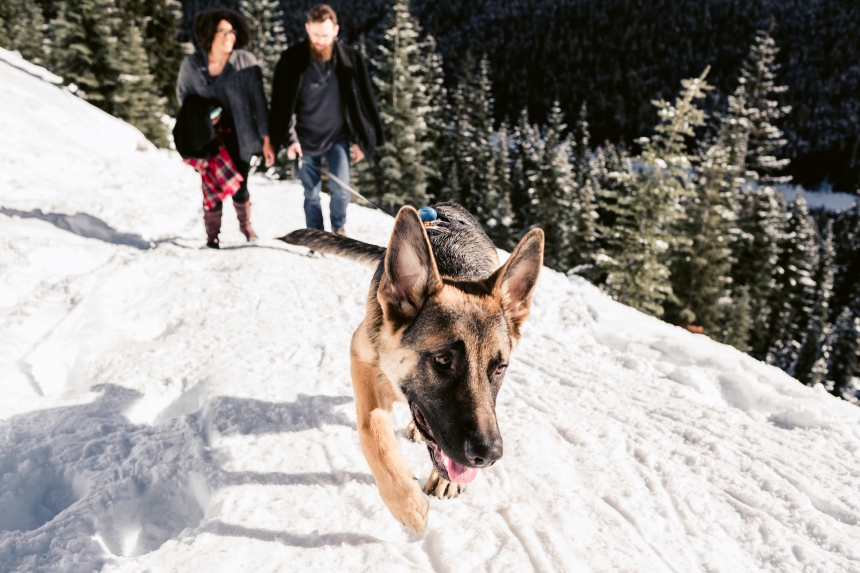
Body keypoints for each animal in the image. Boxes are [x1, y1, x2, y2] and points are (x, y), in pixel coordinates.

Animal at [282, 202, 540, 532]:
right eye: (443, 360)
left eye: (499, 368)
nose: (489, 455)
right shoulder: (362, 360)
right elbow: (372, 430)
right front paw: (406, 501)